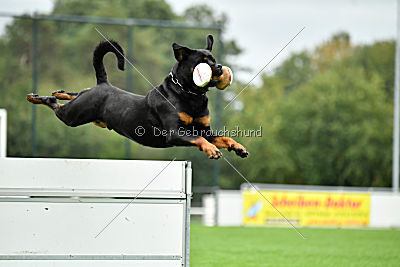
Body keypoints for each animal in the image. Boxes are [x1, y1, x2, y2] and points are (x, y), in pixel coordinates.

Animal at [25, 33, 247, 159]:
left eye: (214, 59)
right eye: (203, 62)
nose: (219, 67)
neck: (190, 94)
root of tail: (104, 84)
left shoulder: (204, 130)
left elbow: (222, 137)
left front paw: (238, 147)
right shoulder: (175, 132)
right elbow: (201, 140)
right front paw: (212, 150)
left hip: (84, 103)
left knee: (77, 93)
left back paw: (59, 92)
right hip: (73, 116)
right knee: (54, 105)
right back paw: (37, 97)